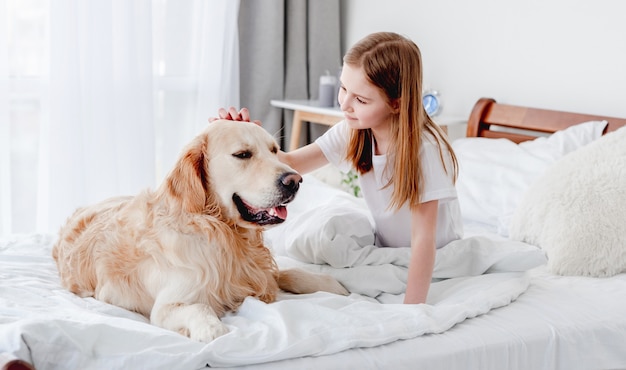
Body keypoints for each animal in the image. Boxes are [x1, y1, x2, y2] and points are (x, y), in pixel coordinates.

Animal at [52, 120, 346, 342]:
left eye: (275, 150)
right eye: (243, 154)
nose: (295, 180)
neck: (223, 232)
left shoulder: (256, 273)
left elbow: (288, 273)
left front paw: (330, 284)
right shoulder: (165, 307)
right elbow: (200, 307)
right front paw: (213, 329)